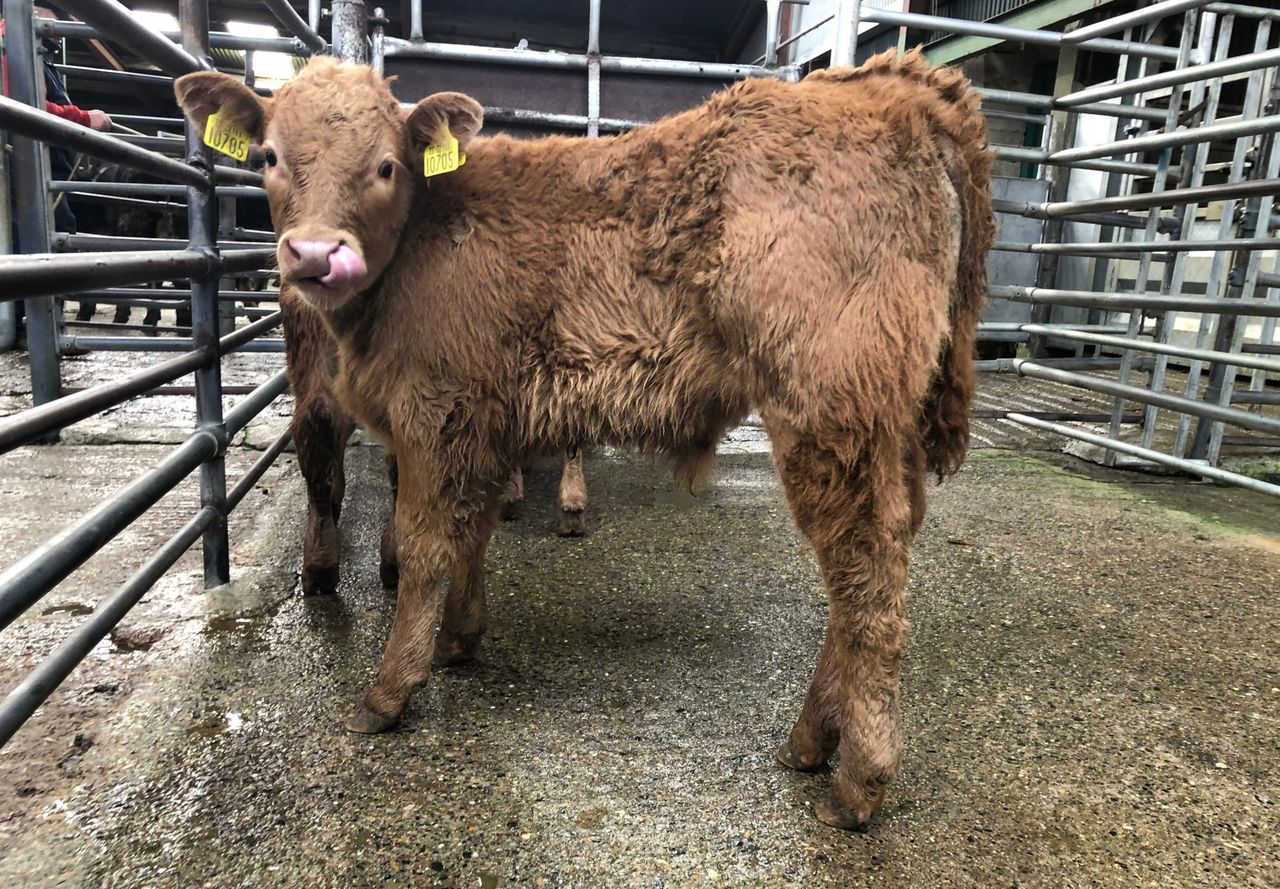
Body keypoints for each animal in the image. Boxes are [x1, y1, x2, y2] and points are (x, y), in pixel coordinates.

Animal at [175, 47, 994, 830]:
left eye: (385, 165)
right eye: (270, 156)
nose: (315, 254)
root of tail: (892, 85)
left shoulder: (434, 410)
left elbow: (423, 545)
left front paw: (390, 689)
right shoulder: (482, 420)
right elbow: (472, 531)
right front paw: (460, 639)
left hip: (830, 407)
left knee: (865, 570)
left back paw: (858, 778)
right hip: (885, 423)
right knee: (878, 555)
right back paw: (812, 738)